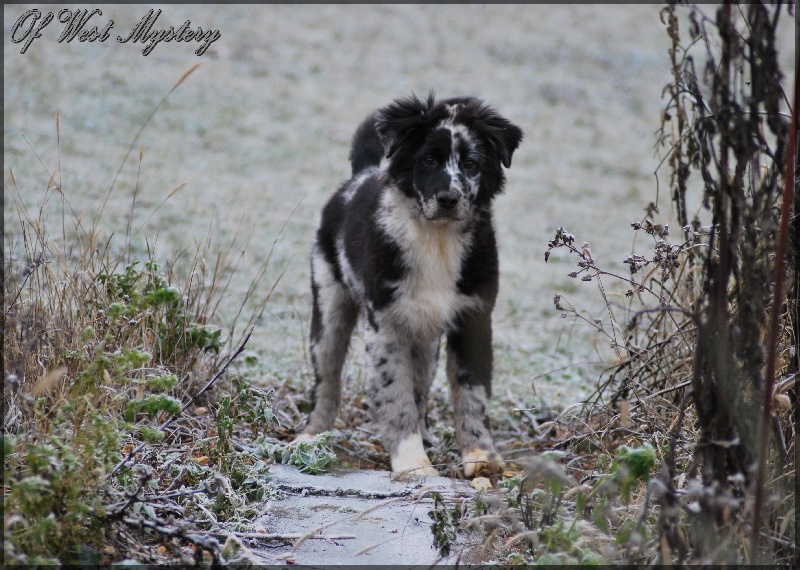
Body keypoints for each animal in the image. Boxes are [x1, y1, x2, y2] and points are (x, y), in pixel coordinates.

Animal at [296, 93, 520, 474]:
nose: (448, 199)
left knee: (421, 388)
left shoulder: (475, 318)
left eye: (472, 164)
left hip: (425, 340)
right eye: (428, 159)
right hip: (329, 305)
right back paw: (311, 437)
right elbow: (395, 396)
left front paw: (480, 455)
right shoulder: (385, 325)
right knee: (327, 379)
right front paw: (413, 464)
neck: (438, 240)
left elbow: (472, 395)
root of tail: (360, 175)